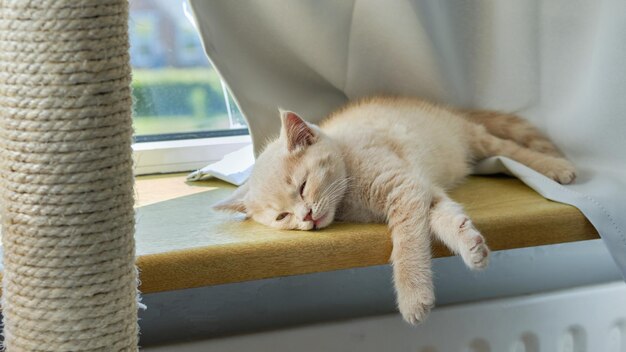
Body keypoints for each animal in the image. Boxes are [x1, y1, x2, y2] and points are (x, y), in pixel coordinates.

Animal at [214, 96, 576, 324]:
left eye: (303, 186)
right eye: (281, 216)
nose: (306, 217)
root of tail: (444, 108)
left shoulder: (404, 188)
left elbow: (406, 246)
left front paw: (413, 296)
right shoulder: (424, 189)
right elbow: (444, 218)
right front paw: (470, 245)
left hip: (475, 138)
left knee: (509, 149)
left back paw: (555, 166)